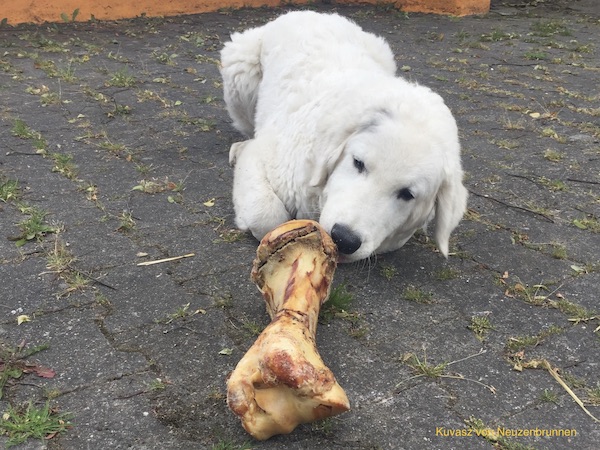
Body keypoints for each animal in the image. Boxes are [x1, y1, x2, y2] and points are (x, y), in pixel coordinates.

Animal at [220, 10, 468, 262]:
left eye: (407, 194)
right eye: (358, 163)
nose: (344, 239)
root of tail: (309, 12)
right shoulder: (265, 154)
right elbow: (267, 216)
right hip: (240, 69)